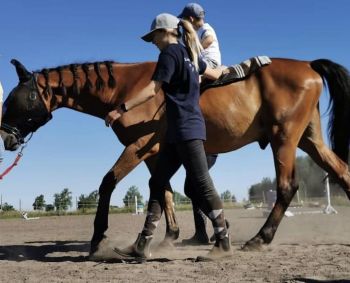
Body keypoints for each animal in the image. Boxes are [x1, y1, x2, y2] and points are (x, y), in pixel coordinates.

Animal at [0, 57, 350, 258]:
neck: (128, 87)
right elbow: (164, 191)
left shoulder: (141, 145)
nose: (5, 137)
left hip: (284, 139)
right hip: (309, 140)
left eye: (18, 99)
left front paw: (98, 238)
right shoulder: (157, 152)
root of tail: (308, 64)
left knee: (288, 186)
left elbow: (109, 183)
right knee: (342, 172)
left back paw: (259, 238)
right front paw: (169, 236)